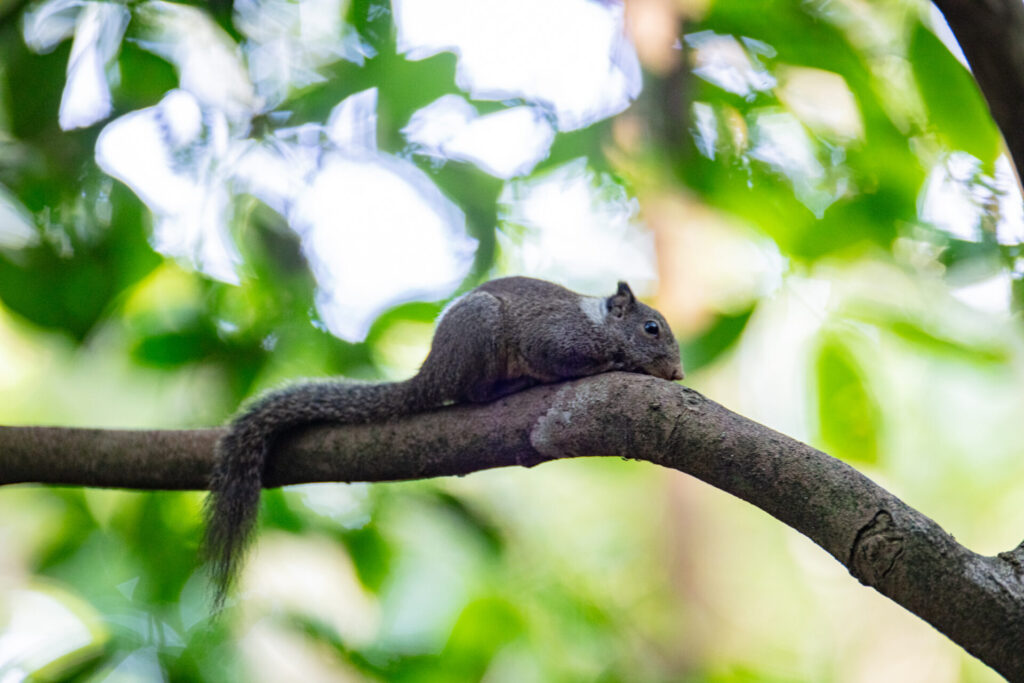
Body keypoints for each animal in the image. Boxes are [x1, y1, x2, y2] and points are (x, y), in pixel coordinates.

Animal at [202, 276, 683, 608]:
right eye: (651, 328)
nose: (678, 374)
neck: (599, 323)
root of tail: (430, 372)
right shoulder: (554, 337)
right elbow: (562, 358)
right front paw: (616, 362)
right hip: (480, 335)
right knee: (472, 392)